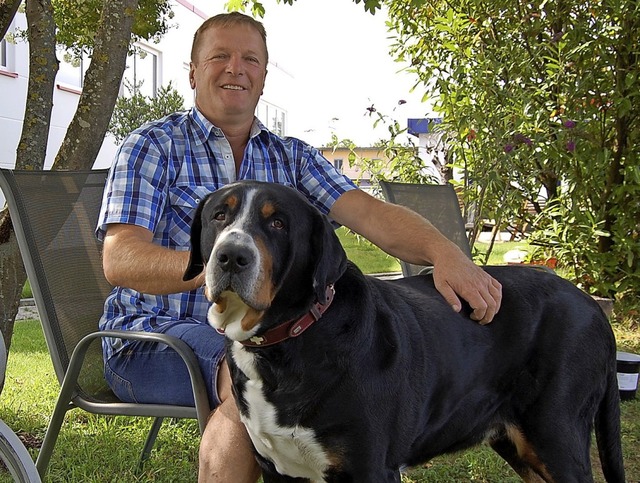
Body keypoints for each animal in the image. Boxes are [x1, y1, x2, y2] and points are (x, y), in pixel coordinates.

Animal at [182, 181, 624, 483]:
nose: (232, 256)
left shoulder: (370, 468)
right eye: (219, 216)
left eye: (277, 223)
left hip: (555, 437)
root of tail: (591, 306)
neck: (286, 344)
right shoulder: (278, 468)